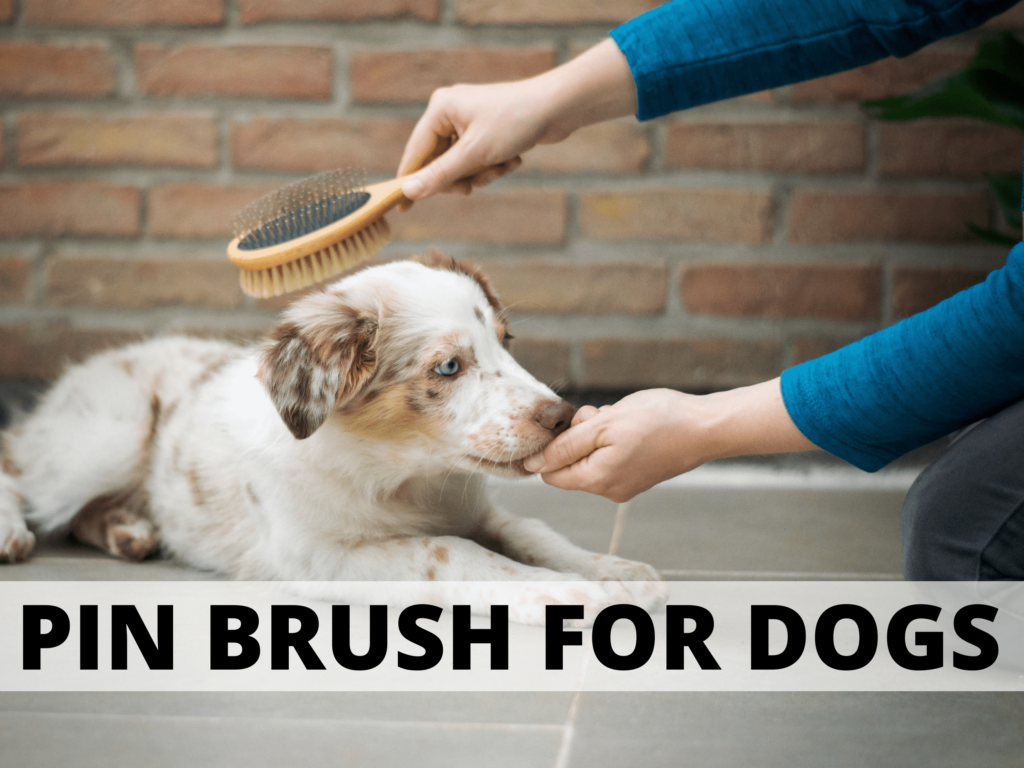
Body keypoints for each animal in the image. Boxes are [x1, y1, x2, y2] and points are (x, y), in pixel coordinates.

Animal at [0, 252, 663, 626]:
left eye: (506, 342)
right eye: (449, 367)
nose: (563, 416)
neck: (402, 477)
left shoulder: (477, 509)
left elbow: (530, 531)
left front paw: (614, 569)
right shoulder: (320, 555)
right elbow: (452, 553)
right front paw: (566, 593)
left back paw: (130, 530)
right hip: (101, 443)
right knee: (18, 466)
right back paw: (16, 531)